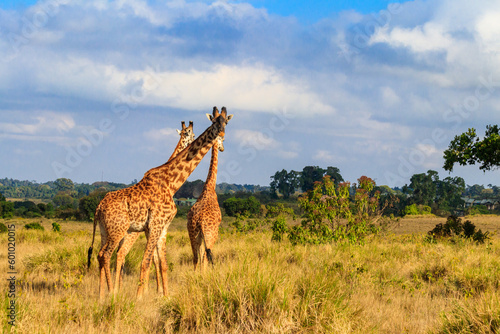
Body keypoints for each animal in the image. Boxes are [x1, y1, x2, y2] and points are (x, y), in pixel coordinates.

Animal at [187, 109, 231, 272]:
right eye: (222, 140)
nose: (222, 148)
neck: (209, 188)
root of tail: (200, 220)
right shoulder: (214, 233)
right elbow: (205, 257)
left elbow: (198, 257)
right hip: (209, 235)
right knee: (205, 257)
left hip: (193, 233)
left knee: (195, 257)